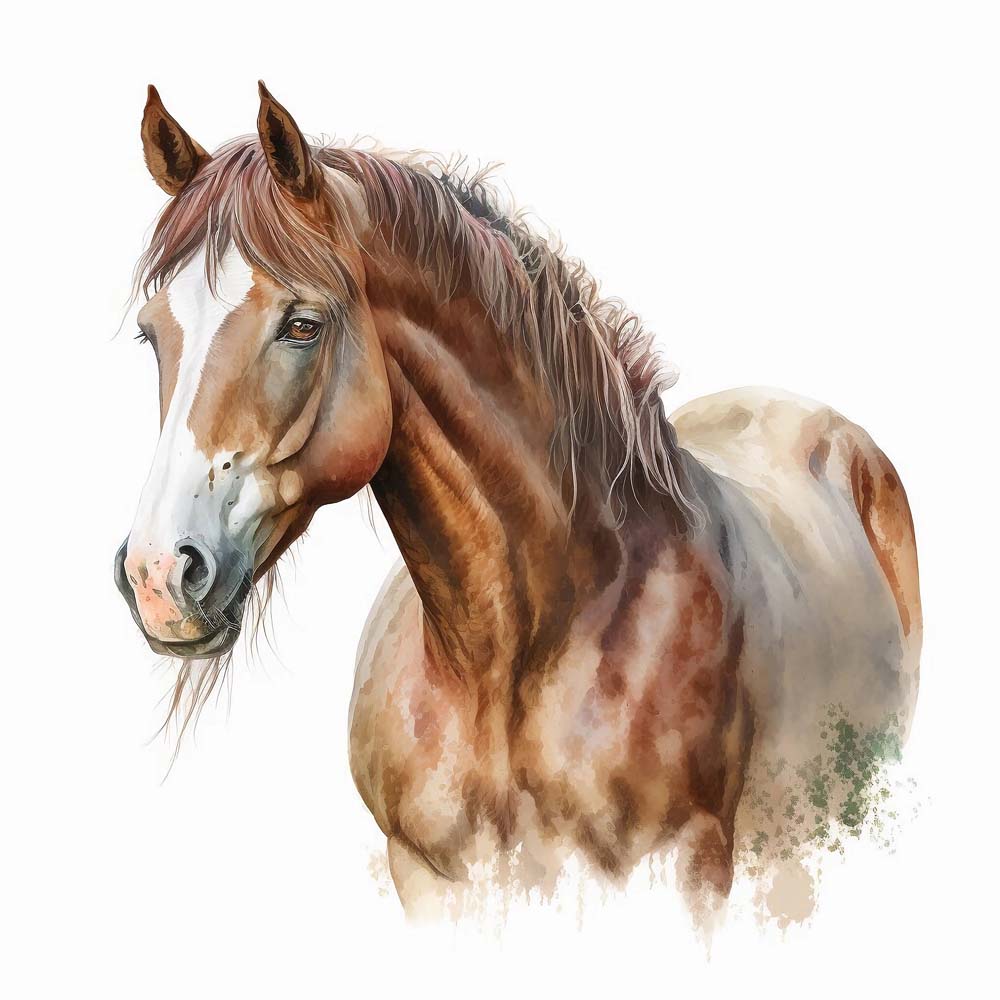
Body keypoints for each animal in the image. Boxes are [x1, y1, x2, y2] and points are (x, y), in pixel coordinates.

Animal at [115, 83, 921, 918]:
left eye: (302, 324)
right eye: (150, 333)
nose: (158, 577)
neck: (510, 664)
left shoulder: (691, 872)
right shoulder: (428, 879)